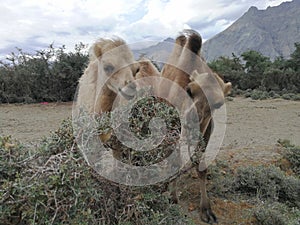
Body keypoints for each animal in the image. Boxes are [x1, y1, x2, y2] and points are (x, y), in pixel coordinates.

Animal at [162, 29, 232, 223]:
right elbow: (175, 161)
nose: (191, 121)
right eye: (189, 90)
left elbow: (201, 167)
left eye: (218, 103)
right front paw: (172, 198)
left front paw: (206, 210)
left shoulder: (206, 131)